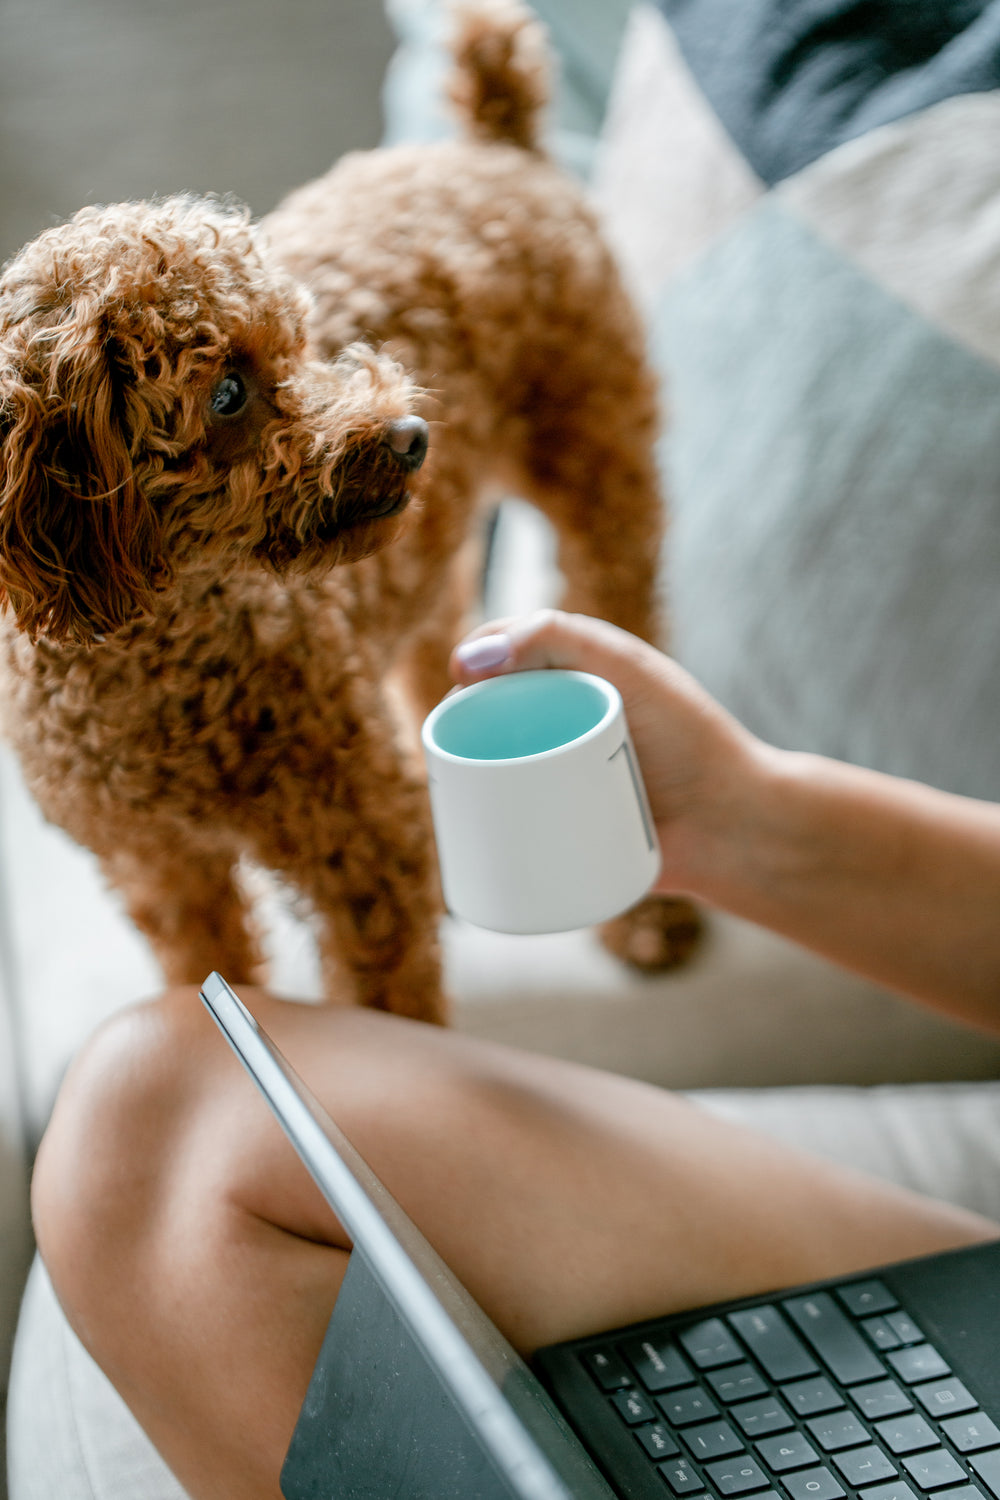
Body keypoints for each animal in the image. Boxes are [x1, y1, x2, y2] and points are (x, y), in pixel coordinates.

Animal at [0, 0, 695, 1026]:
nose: (410, 435)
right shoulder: (160, 867)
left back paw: (650, 919)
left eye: (300, 342)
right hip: (438, 548)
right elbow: (206, 966)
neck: (151, 664)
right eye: (227, 393)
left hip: (599, 464)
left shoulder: (361, 855)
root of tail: (496, 143)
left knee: (624, 613)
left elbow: (389, 1010)